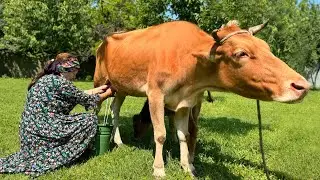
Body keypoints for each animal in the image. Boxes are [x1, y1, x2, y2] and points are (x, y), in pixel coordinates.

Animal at [93, 20, 310, 177]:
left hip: (120, 87)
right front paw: (159, 169)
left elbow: (184, 134)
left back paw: (118, 141)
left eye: (266, 46)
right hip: (100, 80)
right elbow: (160, 134)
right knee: (97, 107)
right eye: (241, 53)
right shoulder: (155, 94)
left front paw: (187, 167)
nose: (302, 86)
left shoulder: (184, 103)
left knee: (115, 109)